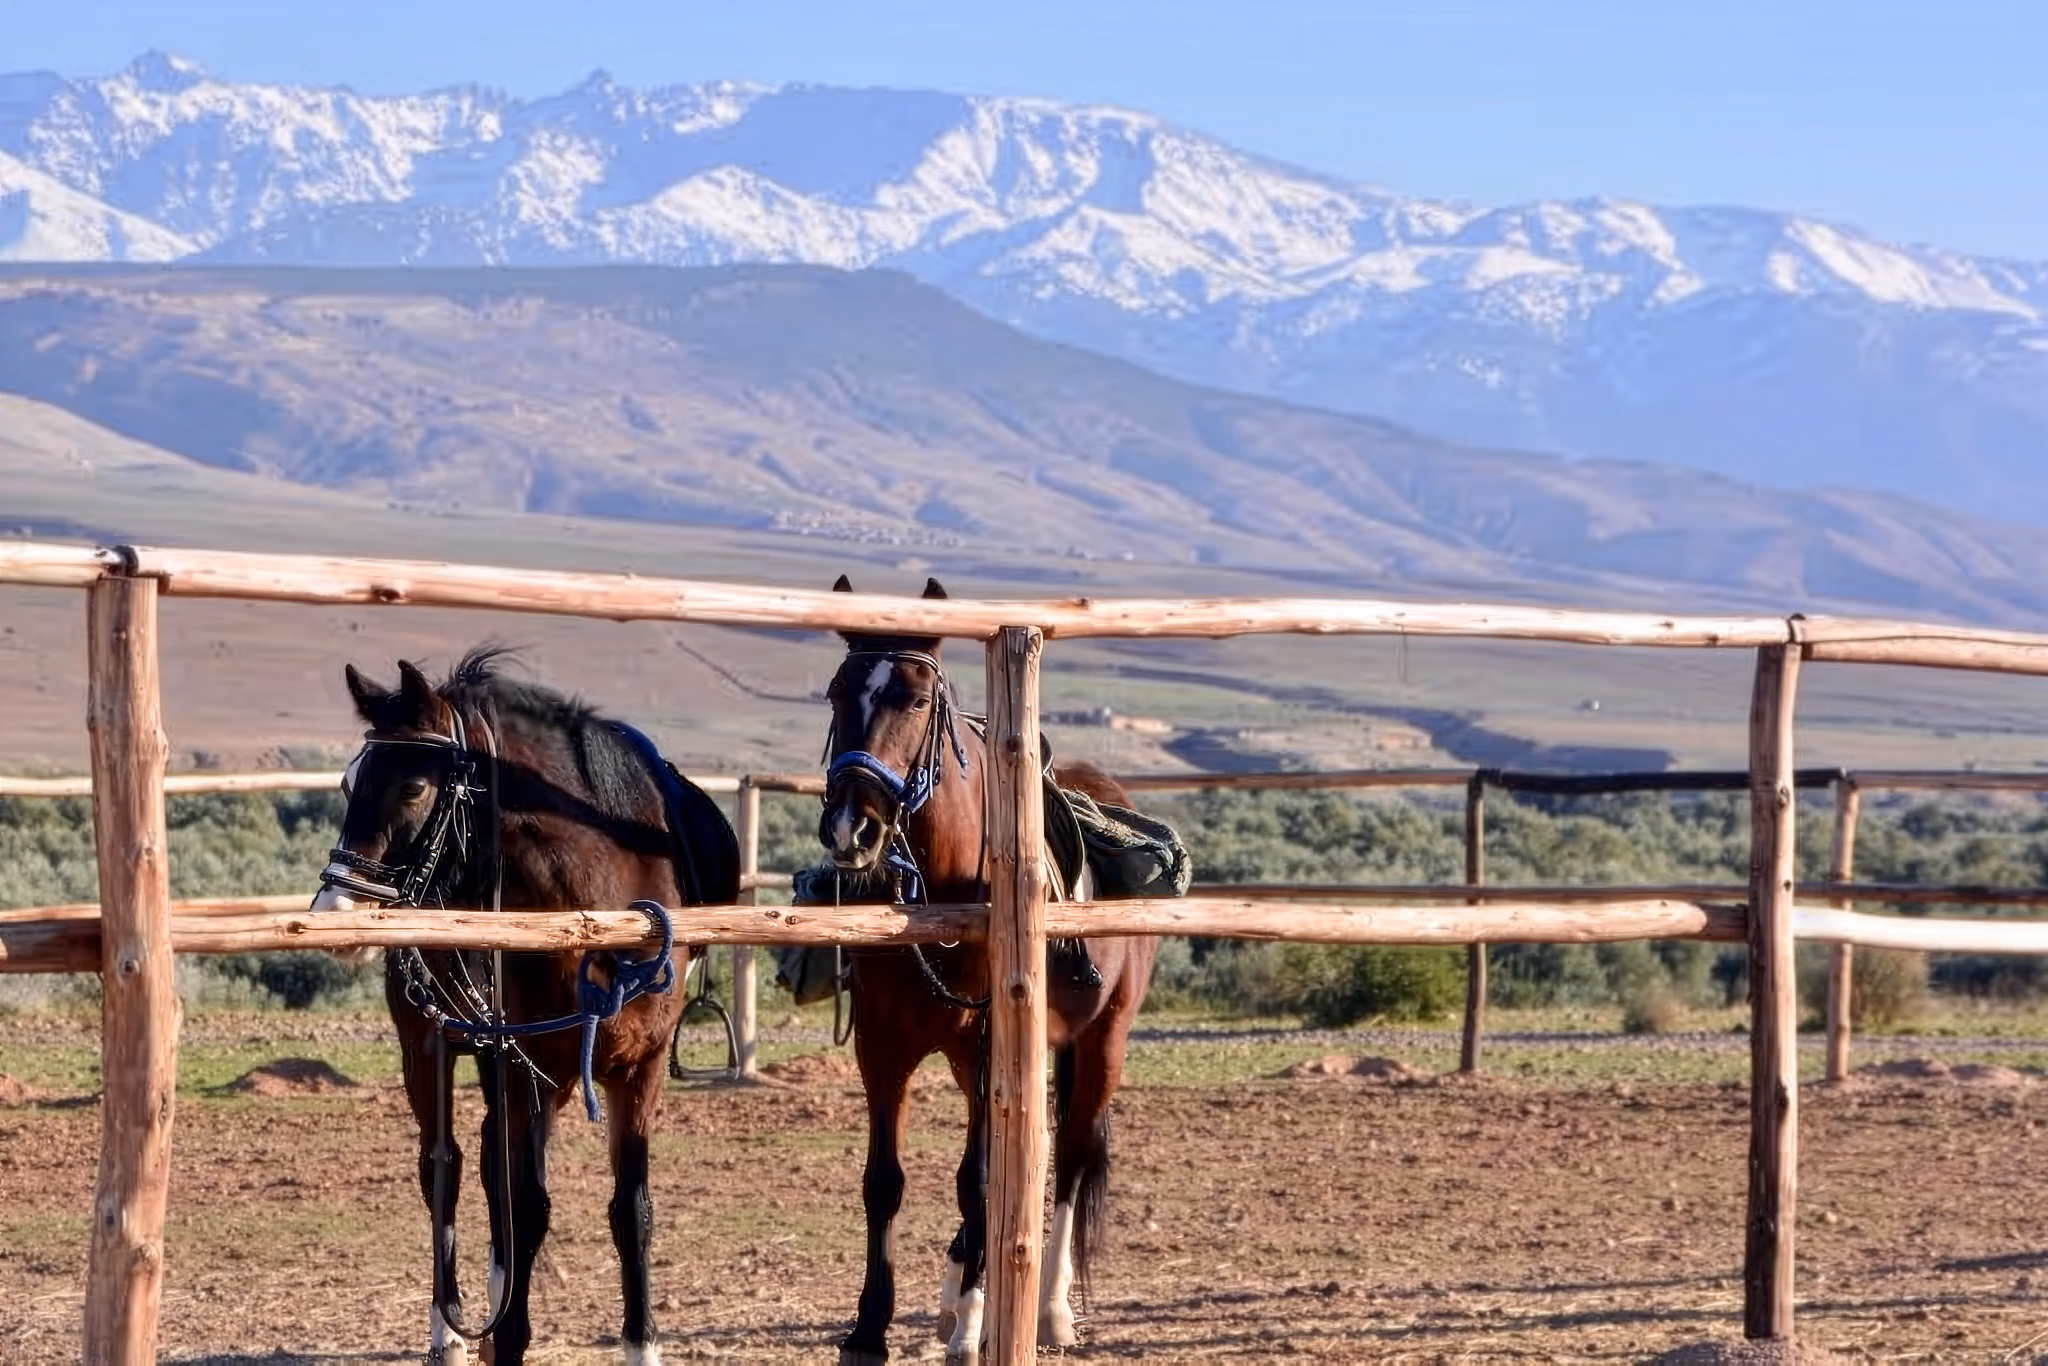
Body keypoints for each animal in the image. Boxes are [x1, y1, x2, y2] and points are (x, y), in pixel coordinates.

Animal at [311, 647, 738, 1366]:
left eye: (413, 788)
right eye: (347, 785)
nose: (335, 914)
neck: (596, 916)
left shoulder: (638, 1068)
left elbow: (631, 1209)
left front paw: (640, 1344)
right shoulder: (524, 1069)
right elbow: (526, 1206)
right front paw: (506, 1335)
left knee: (486, 1166)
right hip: (429, 1049)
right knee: (445, 1171)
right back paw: (450, 1334)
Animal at [818, 577, 1160, 1366]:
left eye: (916, 699)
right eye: (837, 693)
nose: (853, 827)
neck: (943, 890)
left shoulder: (984, 1048)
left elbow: (978, 1181)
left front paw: (975, 1326)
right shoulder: (883, 1048)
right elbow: (884, 1182)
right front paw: (868, 1328)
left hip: (1103, 1041)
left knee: (1068, 1160)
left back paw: (1047, 1311)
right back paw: (955, 1290)